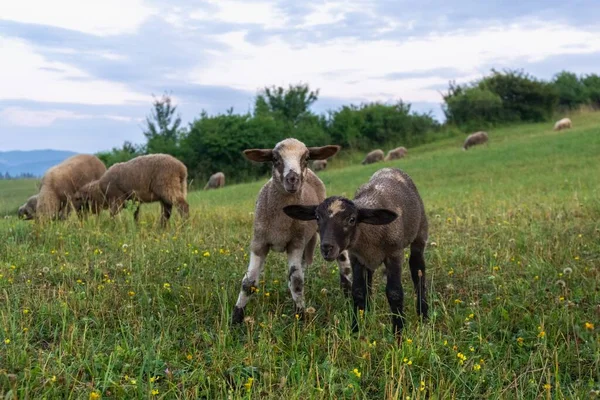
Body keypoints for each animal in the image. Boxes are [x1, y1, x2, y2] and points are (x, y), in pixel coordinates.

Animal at [230, 138, 352, 324]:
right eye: (275, 158)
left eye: (306, 158)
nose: (293, 179)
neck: (280, 225)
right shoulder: (259, 242)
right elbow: (248, 283)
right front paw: (236, 319)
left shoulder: (296, 243)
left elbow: (296, 281)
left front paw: (300, 316)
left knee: (342, 259)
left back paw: (348, 291)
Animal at [284, 167, 428, 340]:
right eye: (317, 217)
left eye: (352, 219)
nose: (326, 248)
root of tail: (390, 168)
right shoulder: (356, 258)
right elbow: (358, 291)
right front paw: (356, 329)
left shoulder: (394, 254)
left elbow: (394, 293)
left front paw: (398, 334)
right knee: (369, 281)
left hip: (420, 233)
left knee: (417, 270)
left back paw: (423, 314)